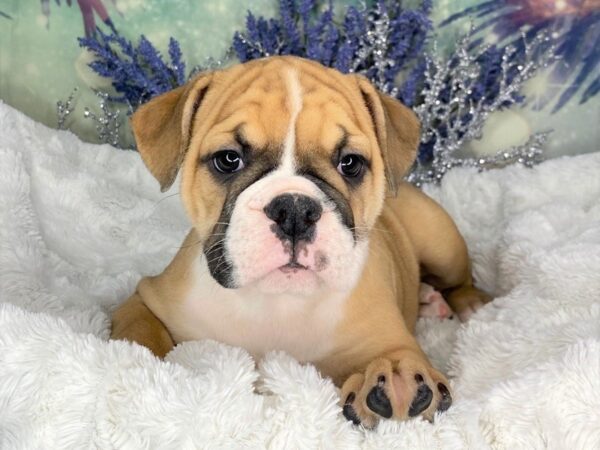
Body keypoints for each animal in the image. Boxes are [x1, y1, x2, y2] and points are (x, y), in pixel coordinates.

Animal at [110, 55, 490, 426]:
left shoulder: (386, 334)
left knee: (459, 280)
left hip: (441, 241)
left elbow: (398, 354)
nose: (294, 210)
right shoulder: (148, 298)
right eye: (228, 159)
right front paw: (138, 366)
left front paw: (397, 376)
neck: (278, 301)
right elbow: (139, 331)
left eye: (349, 163)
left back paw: (468, 304)